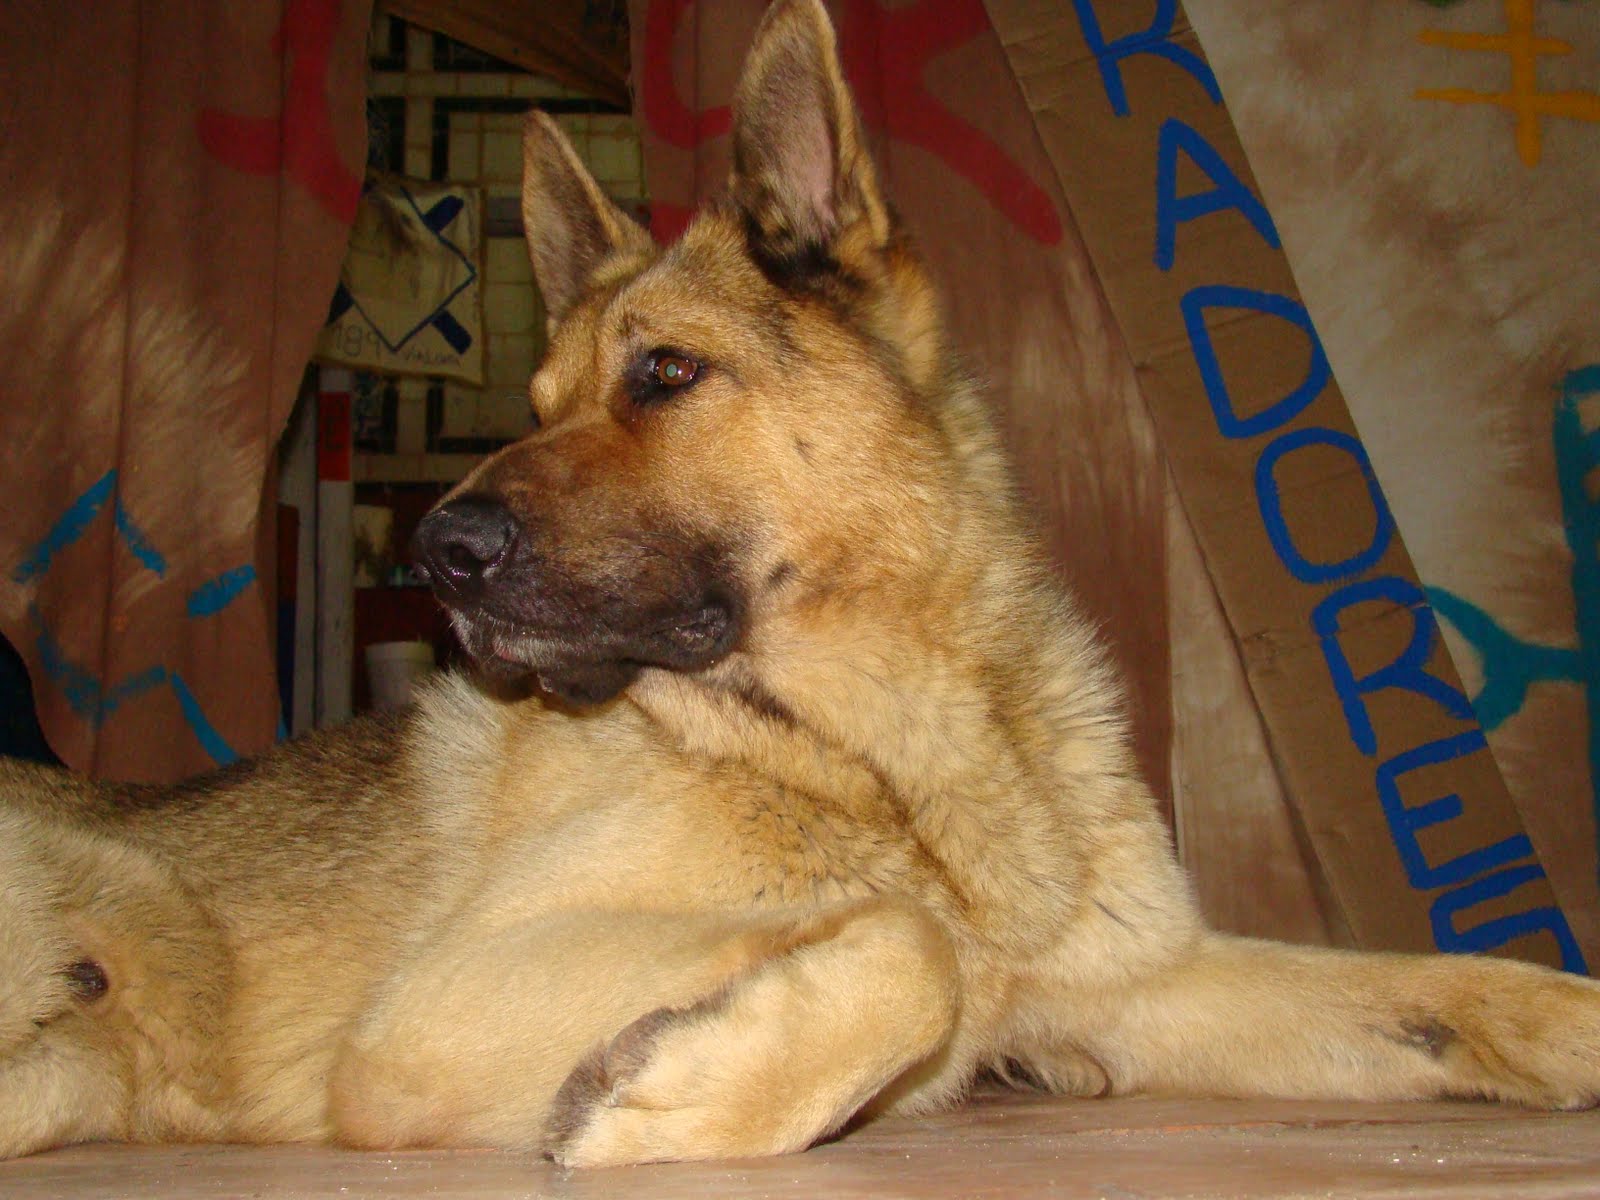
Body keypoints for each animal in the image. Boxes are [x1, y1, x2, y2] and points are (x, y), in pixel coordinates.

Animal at [3, 0, 1599, 1169]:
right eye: (534, 402)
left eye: (664, 375)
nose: (432, 556)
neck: (882, 766)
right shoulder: (430, 1020)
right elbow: (913, 947)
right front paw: (688, 1084)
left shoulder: (1153, 982)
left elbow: (1447, 982)